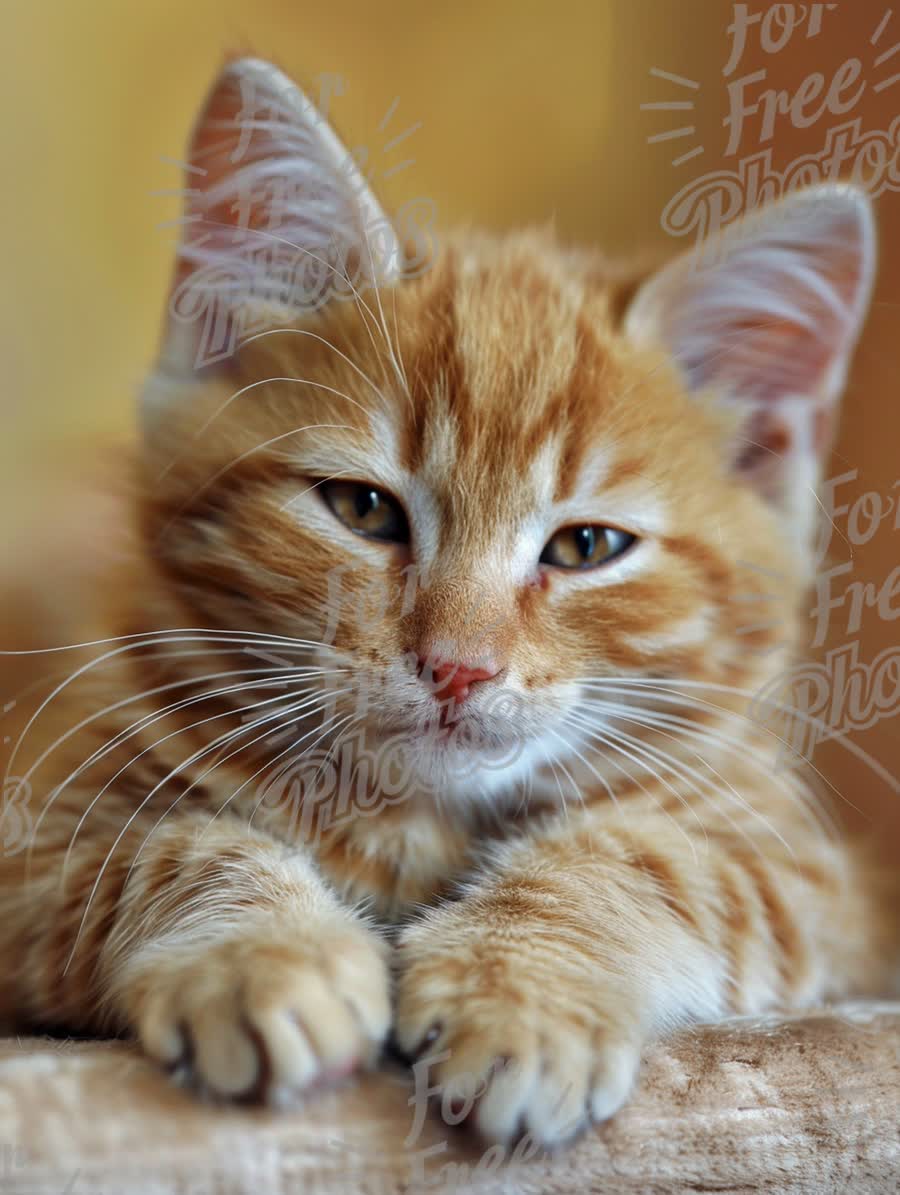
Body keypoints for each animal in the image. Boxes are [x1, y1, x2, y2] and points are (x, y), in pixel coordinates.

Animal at [3, 58, 894, 1147]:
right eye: (363, 509)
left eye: (586, 546)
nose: (459, 666)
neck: (417, 821)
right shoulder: (30, 827)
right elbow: (163, 843)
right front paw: (265, 958)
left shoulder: (804, 873)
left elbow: (653, 858)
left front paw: (521, 990)